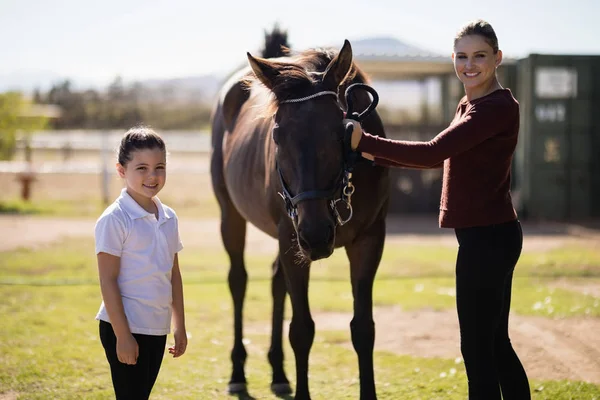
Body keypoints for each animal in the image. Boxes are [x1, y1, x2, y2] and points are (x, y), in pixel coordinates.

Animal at [210, 39, 390, 398]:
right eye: (277, 136)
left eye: (341, 132)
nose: (317, 234)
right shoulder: (293, 237)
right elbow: (302, 330)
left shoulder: (370, 239)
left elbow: (364, 328)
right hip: (234, 216)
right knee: (238, 281)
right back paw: (238, 371)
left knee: (276, 282)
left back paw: (278, 372)